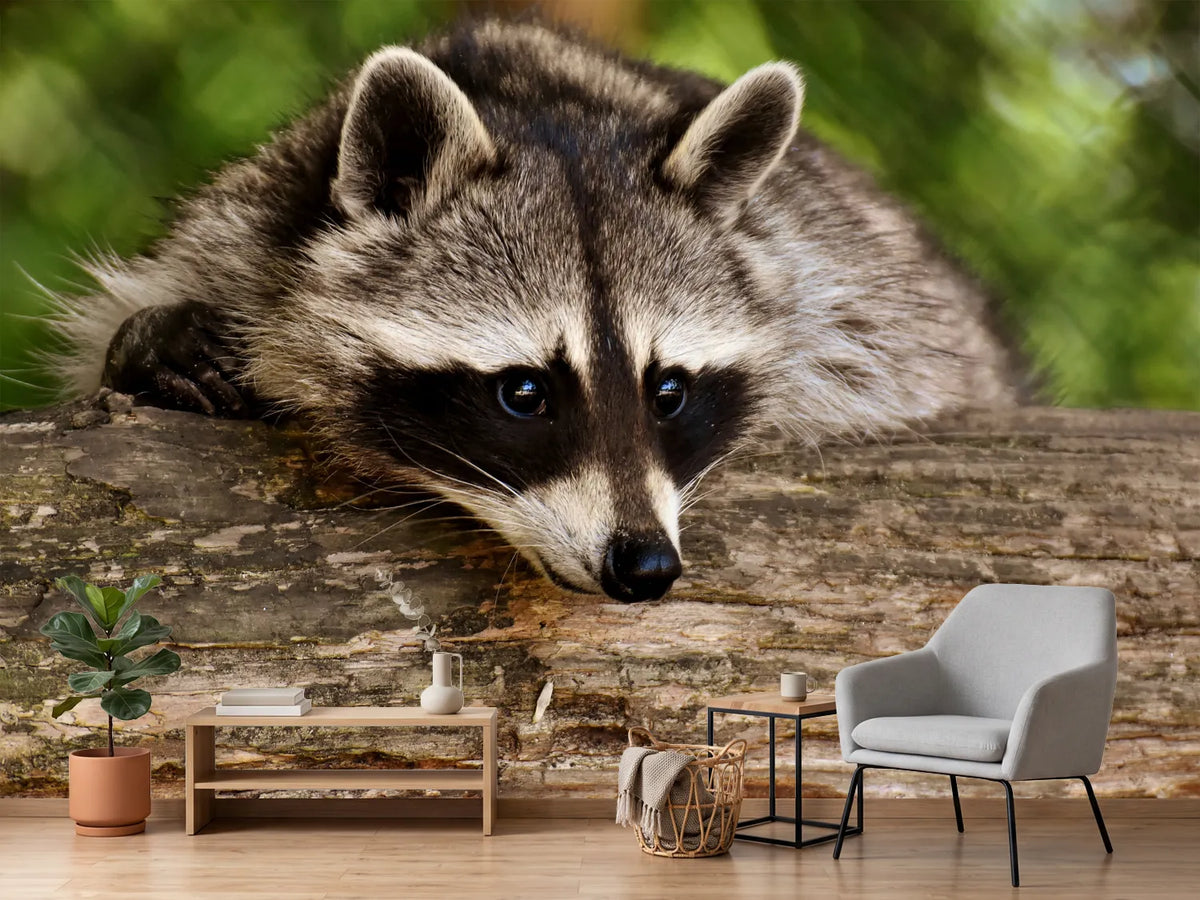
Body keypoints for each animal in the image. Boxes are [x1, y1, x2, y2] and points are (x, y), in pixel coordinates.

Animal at [52, 20, 1020, 602]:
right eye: (524, 393)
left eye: (669, 391)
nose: (645, 567)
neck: (540, 103)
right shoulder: (240, 228)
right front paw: (152, 344)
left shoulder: (843, 288)